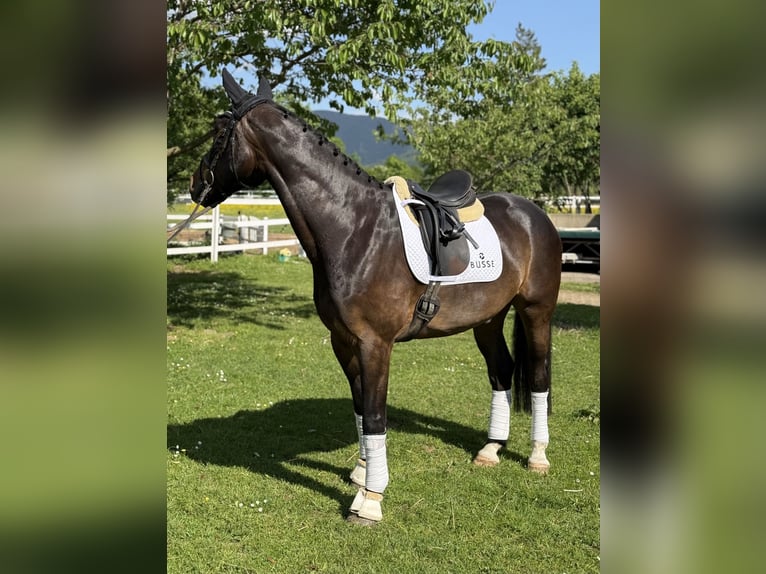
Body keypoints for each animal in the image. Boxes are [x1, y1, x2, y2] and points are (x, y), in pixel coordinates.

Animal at [188, 70, 562, 525]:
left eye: (218, 131)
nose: (194, 184)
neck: (353, 228)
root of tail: (534, 212)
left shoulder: (375, 344)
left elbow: (376, 415)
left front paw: (370, 500)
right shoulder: (344, 341)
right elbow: (361, 411)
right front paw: (362, 472)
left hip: (536, 311)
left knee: (539, 377)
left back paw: (538, 456)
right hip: (488, 318)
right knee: (502, 371)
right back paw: (491, 449)